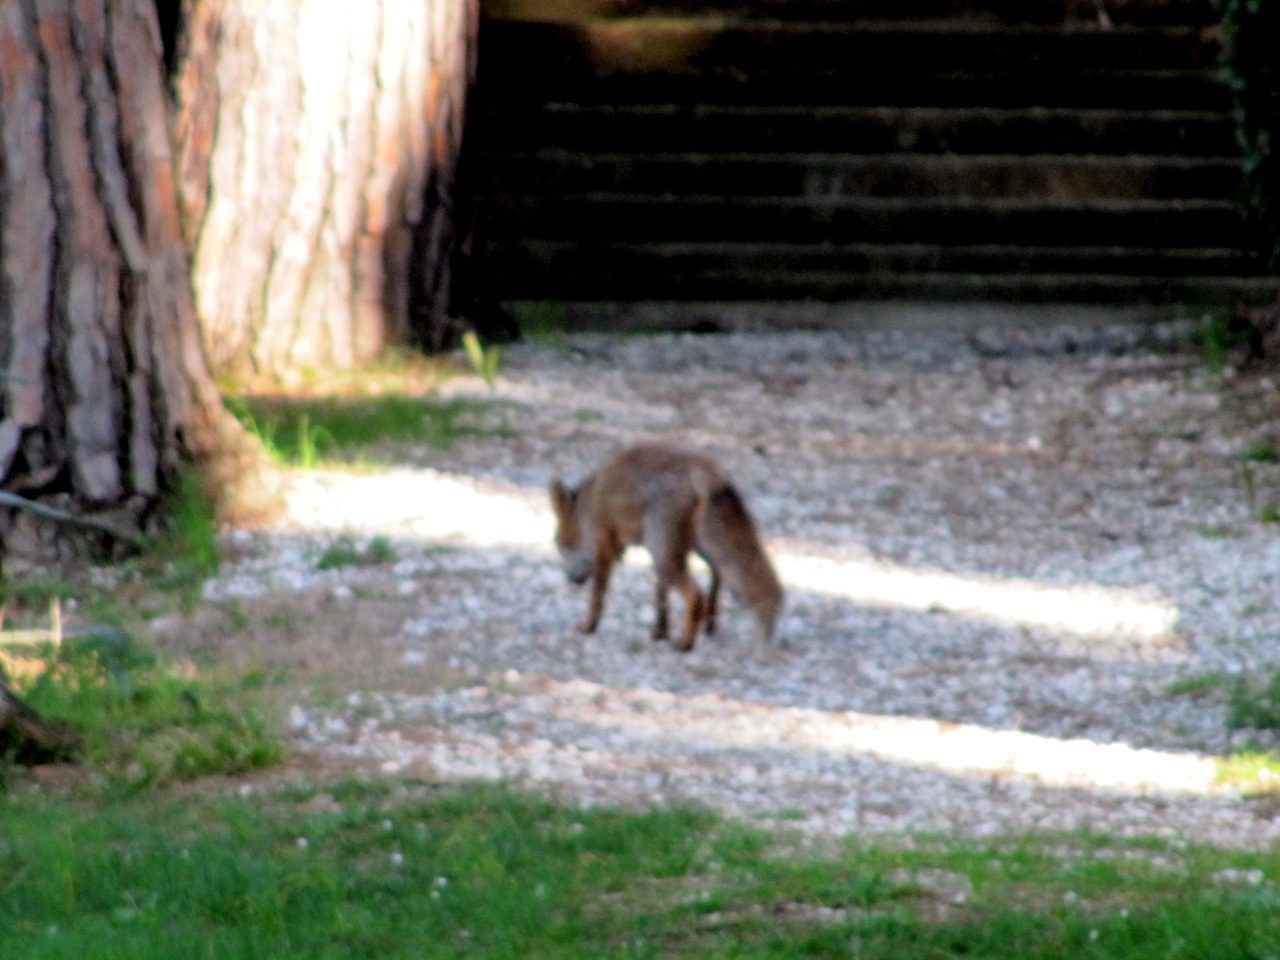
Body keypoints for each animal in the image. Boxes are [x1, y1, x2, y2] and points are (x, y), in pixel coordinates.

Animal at [549, 444, 783, 651]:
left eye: (561, 544)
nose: (571, 579)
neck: (589, 506)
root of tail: (706, 468)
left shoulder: (605, 547)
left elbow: (597, 596)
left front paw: (588, 626)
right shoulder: (650, 553)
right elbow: (661, 597)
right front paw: (660, 632)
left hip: (665, 553)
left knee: (696, 595)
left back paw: (686, 644)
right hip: (691, 549)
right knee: (718, 576)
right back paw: (709, 623)